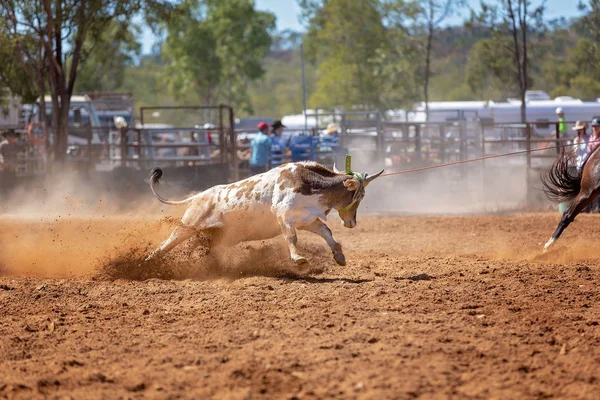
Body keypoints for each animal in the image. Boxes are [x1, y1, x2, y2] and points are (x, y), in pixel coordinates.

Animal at [144, 159, 384, 266]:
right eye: (360, 196)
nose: (352, 223)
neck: (307, 182)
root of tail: (199, 196)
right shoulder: (284, 216)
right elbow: (292, 237)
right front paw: (298, 258)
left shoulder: (307, 219)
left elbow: (326, 231)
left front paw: (339, 255)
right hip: (189, 225)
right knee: (167, 244)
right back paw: (146, 262)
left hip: (214, 235)